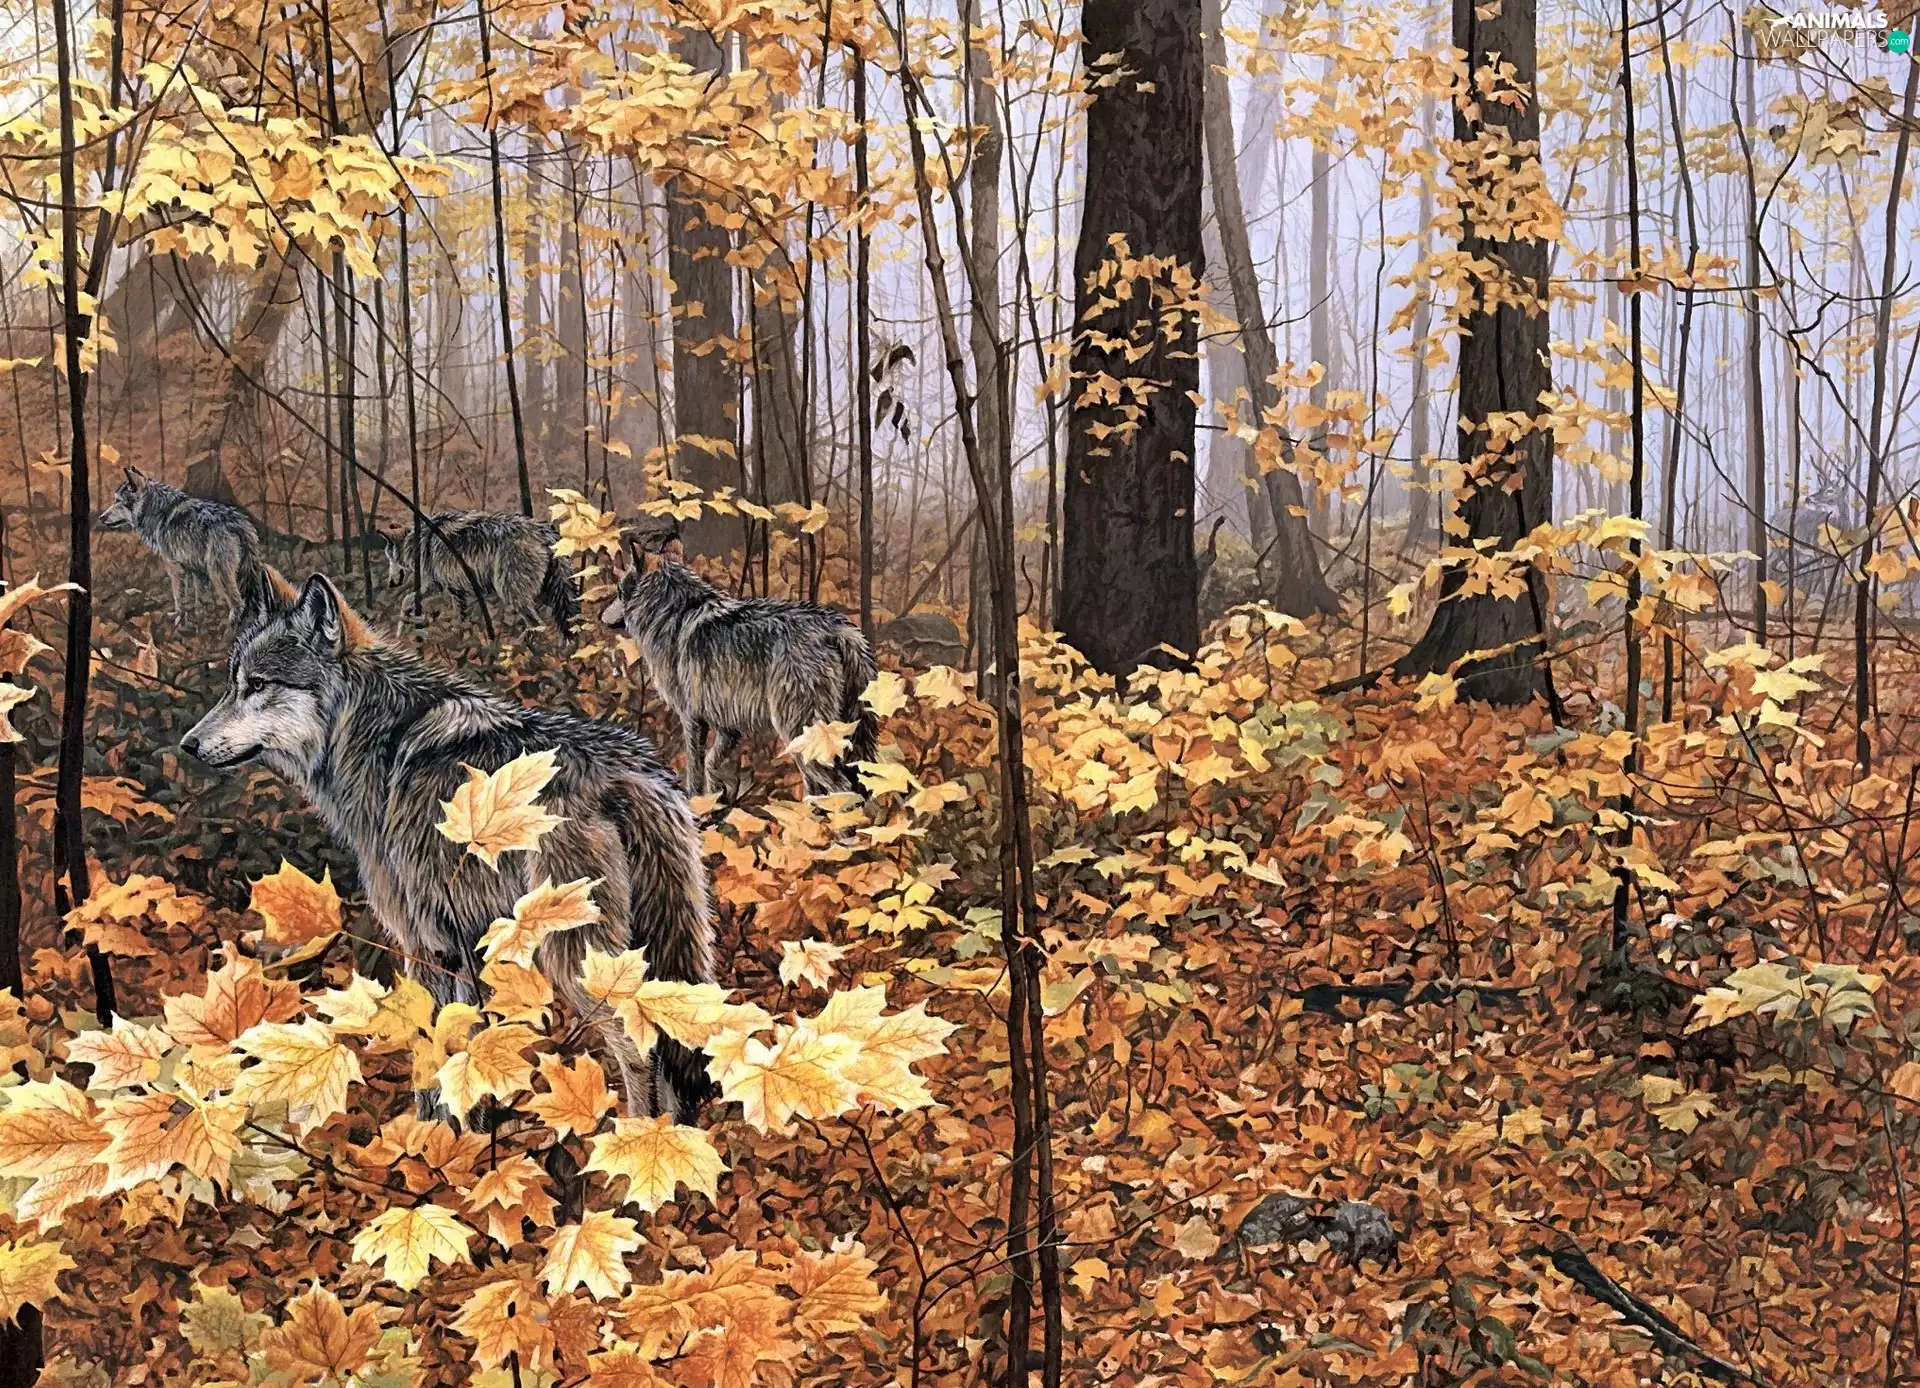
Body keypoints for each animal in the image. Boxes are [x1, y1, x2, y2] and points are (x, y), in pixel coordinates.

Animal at [95, 466, 263, 624]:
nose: (101, 517)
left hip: (217, 573)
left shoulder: (174, 568)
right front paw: (200, 615)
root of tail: (237, 523)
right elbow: (200, 597)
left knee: (238, 602)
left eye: (117, 501)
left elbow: (178, 597)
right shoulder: (196, 568)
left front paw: (178, 618)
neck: (155, 509)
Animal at [182, 567, 715, 1119]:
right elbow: (466, 1050)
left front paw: (423, 1135)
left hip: (575, 959)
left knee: (637, 1049)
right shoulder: (467, 944)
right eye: (233, 684)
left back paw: (634, 1136)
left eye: (257, 685)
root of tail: (624, 775)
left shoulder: (426, 942)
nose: (188, 744)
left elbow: (428, 1061)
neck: (367, 732)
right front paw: (469, 1134)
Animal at [384, 510, 578, 635]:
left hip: (509, 590)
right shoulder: (454, 589)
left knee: (537, 624)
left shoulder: (436, 584)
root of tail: (542, 530)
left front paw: (400, 629)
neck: (417, 541)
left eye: (390, 559)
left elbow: (406, 599)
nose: (390, 584)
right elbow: (460, 617)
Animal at [600, 525, 880, 799]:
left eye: (618, 591)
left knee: (841, 787)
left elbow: (695, 772)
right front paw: (716, 798)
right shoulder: (726, 726)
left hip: (798, 732)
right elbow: (711, 763)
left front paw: (696, 804)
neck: (675, 611)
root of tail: (836, 628)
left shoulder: (691, 718)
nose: (601, 616)